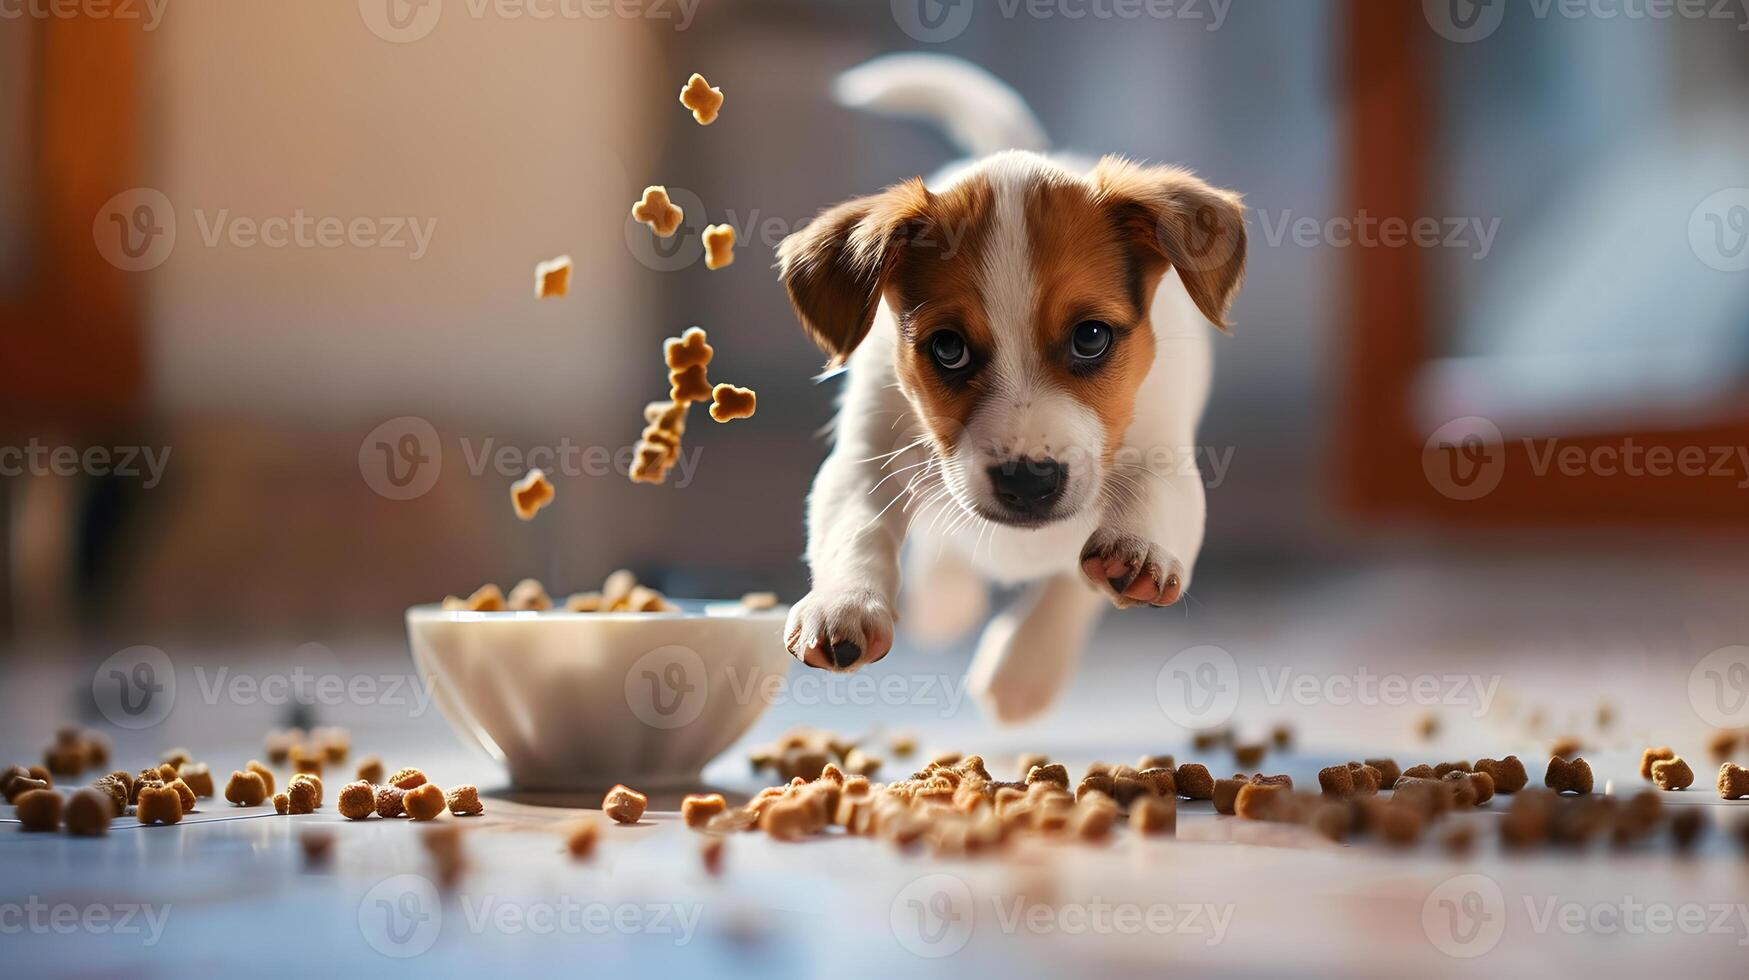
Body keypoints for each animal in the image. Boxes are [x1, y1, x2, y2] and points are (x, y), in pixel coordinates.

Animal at [776, 55, 1245, 721]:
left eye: (1091, 337)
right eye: (948, 348)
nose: (1028, 481)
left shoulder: (1162, 442)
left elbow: (1141, 513)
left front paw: (1036, 655)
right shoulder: (865, 456)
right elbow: (855, 527)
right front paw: (844, 604)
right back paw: (943, 598)